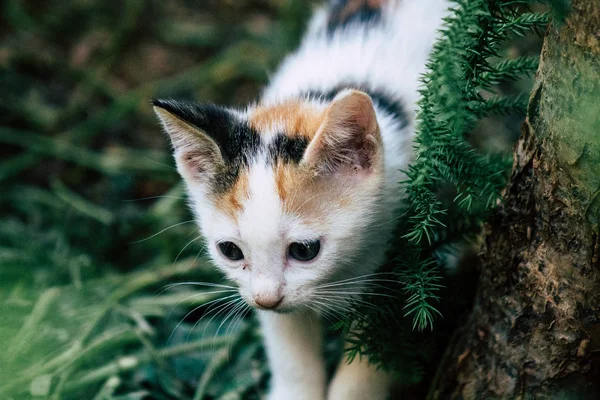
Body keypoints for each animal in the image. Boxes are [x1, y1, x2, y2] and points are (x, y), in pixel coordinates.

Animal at [152, 1, 448, 398]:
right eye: (230, 251)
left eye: (304, 250)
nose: (266, 299)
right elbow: (289, 345)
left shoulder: (414, 249)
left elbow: (380, 349)